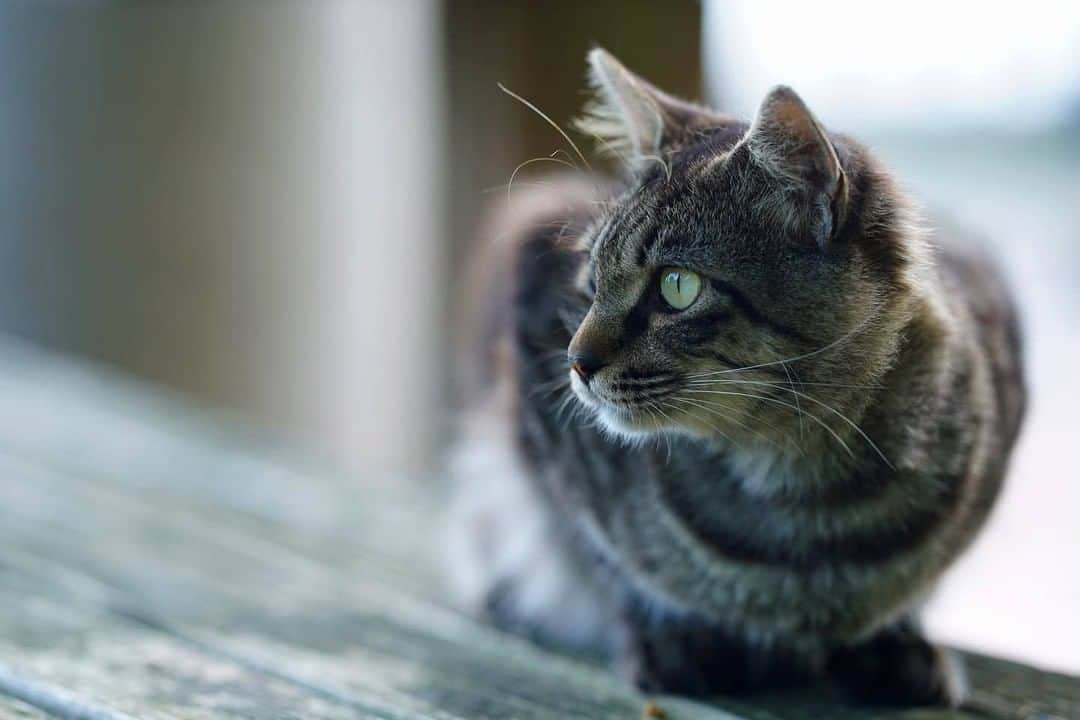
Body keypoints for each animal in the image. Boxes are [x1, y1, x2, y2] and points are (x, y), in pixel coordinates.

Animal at [442, 47, 1023, 708]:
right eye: (590, 280)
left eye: (677, 286)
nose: (576, 363)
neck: (803, 493)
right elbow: (600, 553)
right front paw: (669, 636)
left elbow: (914, 586)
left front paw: (896, 641)